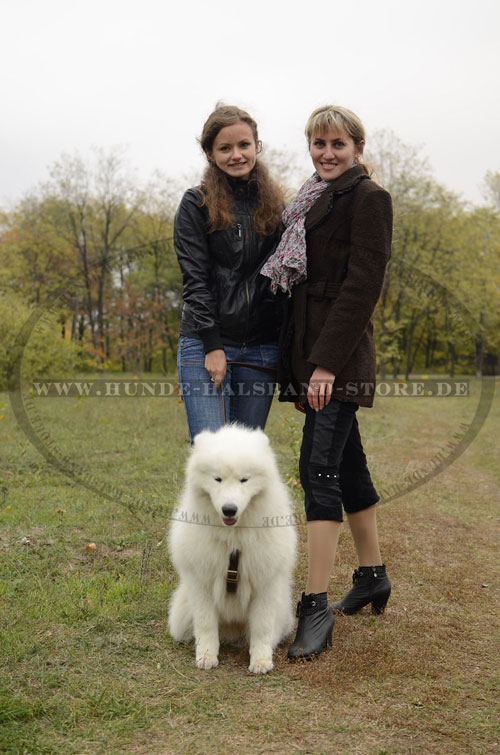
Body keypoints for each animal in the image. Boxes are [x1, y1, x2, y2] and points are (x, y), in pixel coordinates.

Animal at [168, 422, 296, 676]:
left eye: (244, 480)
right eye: (217, 479)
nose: (229, 509)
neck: (233, 540)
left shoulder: (264, 584)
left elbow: (262, 628)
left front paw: (260, 661)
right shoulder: (202, 582)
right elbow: (206, 625)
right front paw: (207, 656)